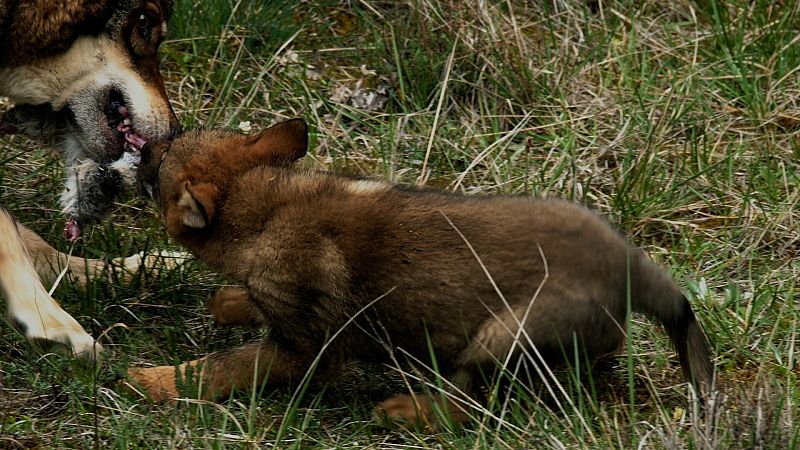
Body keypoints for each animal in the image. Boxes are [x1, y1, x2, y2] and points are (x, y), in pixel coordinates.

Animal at [0, 0, 181, 358]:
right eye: (144, 23)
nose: (176, 134)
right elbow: (8, 234)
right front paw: (48, 319)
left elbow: (41, 249)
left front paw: (155, 265)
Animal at [127, 119, 715, 425]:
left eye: (160, 161)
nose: (142, 143)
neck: (266, 210)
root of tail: (633, 268)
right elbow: (238, 312)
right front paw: (227, 303)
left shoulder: (305, 351)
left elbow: (220, 368)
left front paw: (151, 381)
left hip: (501, 336)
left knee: (471, 406)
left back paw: (403, 410)